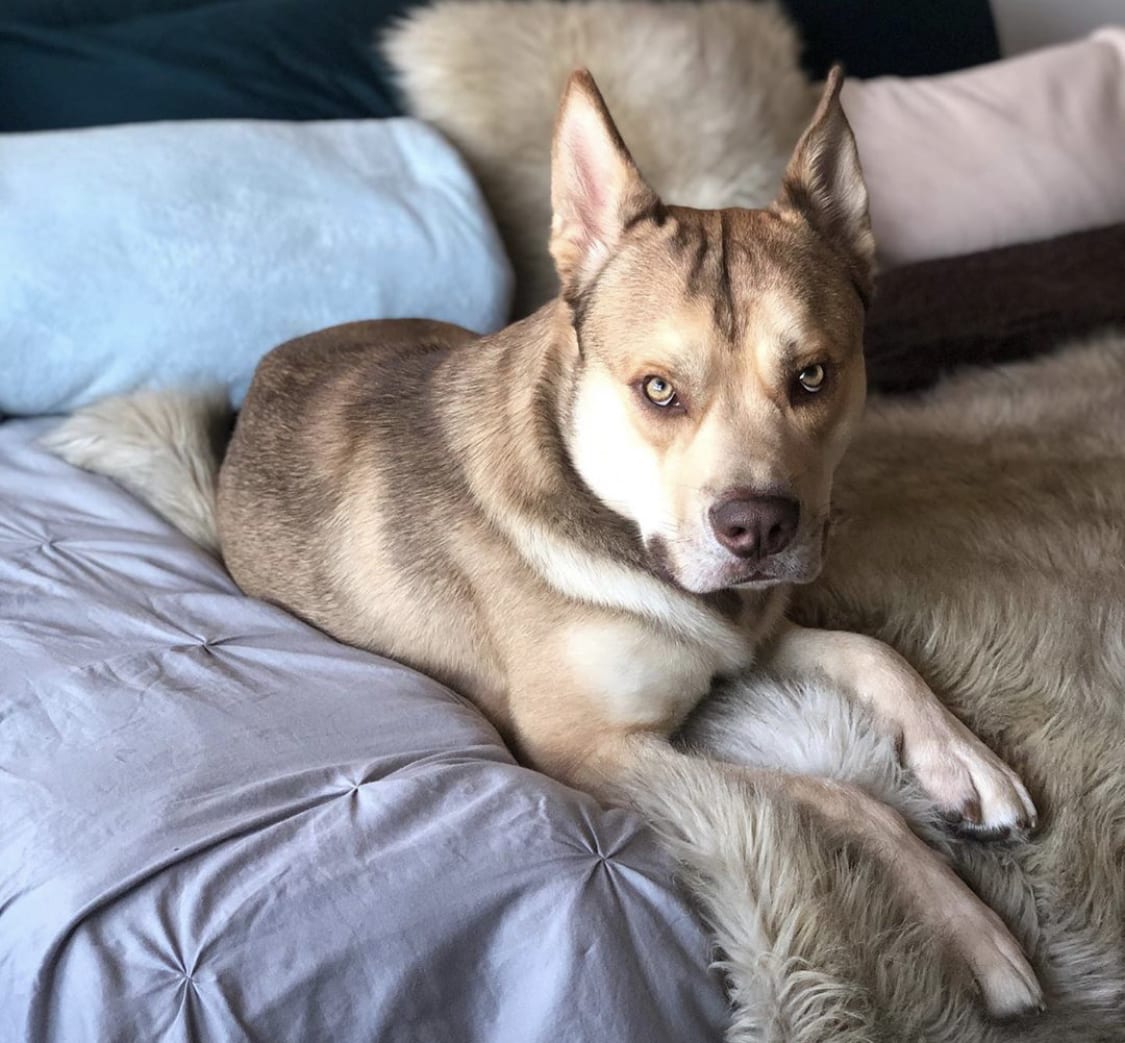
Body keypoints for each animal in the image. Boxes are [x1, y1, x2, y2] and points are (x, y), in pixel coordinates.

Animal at [46, 67, 1044, 1021]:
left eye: (812, 376)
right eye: (657, 389)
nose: (758, 527)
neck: (614, 518)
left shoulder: (747, 638)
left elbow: (874, 652)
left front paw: (967, 763)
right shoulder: (590, 750)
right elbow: (848, 797)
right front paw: (971, 930)